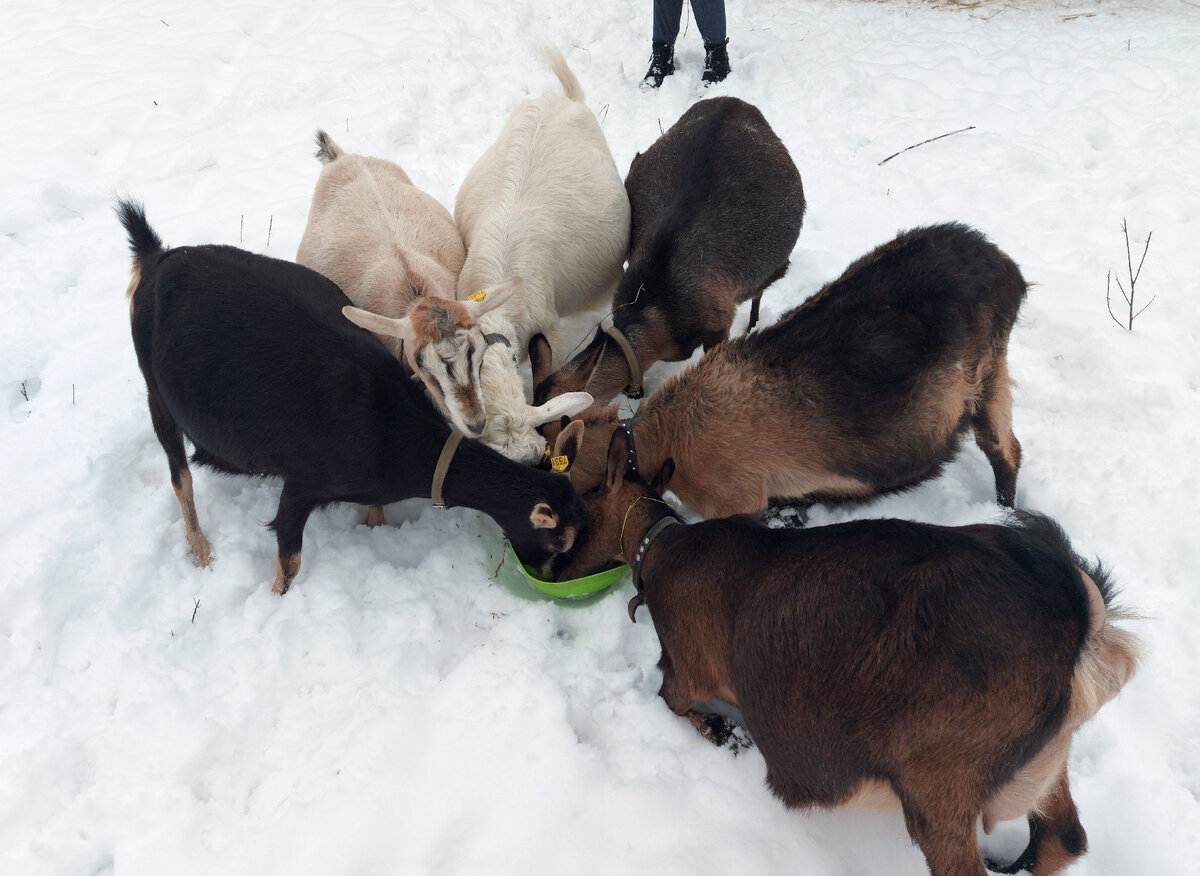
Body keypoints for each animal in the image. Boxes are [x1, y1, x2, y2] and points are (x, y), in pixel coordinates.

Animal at [537, 93, 806, 408]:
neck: (660, 313)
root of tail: (732, 100)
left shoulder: (718, 319)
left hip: (772, 265)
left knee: (760, 288)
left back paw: (752, 324)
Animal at [556, 427, 1137, 873]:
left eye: (584, 504)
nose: (556, 566)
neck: (660, 544)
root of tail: (1080, 618)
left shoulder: (683, 669)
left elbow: (671, 700)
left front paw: (726, 733)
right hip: (1041, 765)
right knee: (1063, 839)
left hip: (938, 783)